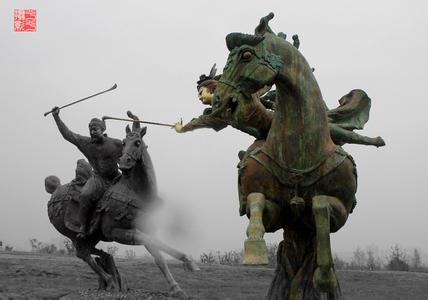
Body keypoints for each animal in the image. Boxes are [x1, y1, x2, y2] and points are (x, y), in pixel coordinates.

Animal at [46, 115, 200, 298]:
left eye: (138, 143)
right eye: (124, 142)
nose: (124, 162)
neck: (135, 191)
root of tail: (55, 190)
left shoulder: (146, 229)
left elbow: (159, 258)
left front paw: (178, 284)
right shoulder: (114, 231)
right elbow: (142, 238)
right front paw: (188, 262)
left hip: (93, 235)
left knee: (89, 250)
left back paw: (106, 259)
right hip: (73, 234)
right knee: (83, 253)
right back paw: (110, 280)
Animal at [211, 12, 358, 298]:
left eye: (246, 55)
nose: (218, 101)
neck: (299, 155)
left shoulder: (341, 211)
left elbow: (320, 207)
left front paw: (324, 277)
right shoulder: (277, 214)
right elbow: (256, 202)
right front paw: (254, 251)